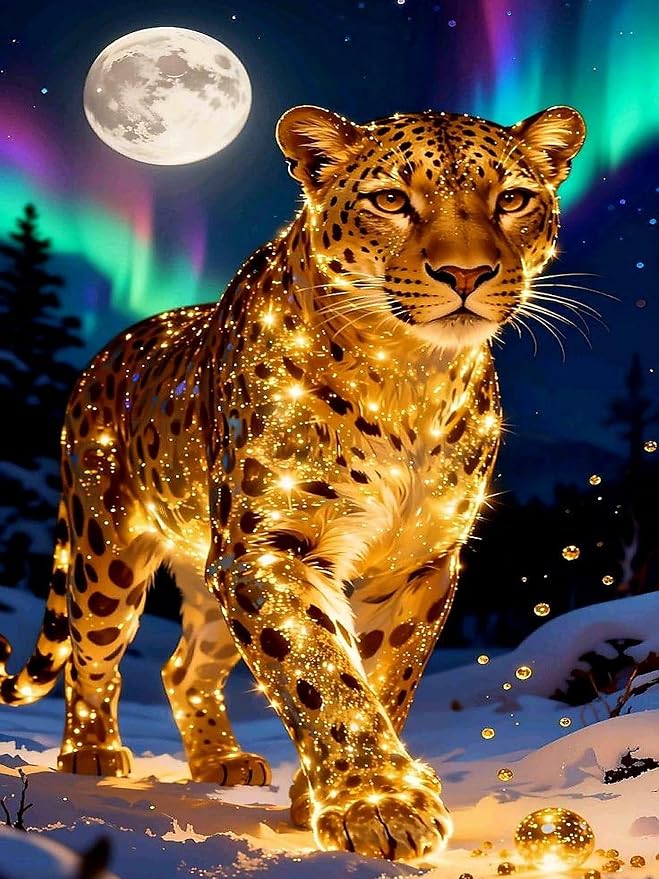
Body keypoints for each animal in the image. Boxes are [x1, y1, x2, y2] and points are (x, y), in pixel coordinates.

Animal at [0, 103, 585, 864]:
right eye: (390, 199)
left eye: (511, 199)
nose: (466, 272)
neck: (411, 376)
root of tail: (106, 356)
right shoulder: (265, 547)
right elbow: (319, 670)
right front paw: (379, 805)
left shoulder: (420, 560)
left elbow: (383, 672)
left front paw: (329, 796)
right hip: (107, 546)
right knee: (95, 652)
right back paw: (91, 753)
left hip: (207, 575)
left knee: (183, 668)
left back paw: (221, 761)